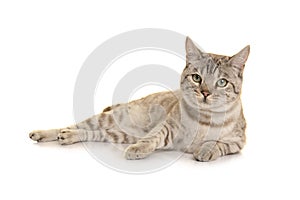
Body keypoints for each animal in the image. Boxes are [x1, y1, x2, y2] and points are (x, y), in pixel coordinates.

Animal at [28, 36, 248, 162]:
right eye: (196, 78)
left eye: (221, 82)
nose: (205, 92)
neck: (206, 119)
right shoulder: (167, 127)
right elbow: (153, 138)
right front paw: (139, 149)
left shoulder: (238, 142)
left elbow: (219, 144)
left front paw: (206, 150)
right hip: (110, 118)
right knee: (74, 125)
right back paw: (47, 133)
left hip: (120, 134)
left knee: (94, 134)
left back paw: (68, 137)